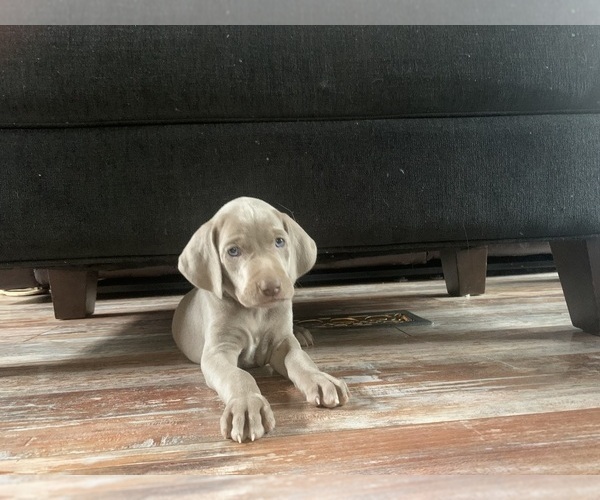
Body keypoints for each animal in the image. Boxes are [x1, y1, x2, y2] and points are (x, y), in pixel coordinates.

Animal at [171, 197, 350, 444]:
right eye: (233, 251)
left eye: (279, 242)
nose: (272, 287)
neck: (255, 313)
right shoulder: (218, 351)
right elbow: (237, 375)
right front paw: (246, 404)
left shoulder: (283, 342)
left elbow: (300, 359)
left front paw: (321, 378)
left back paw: (302, 332)